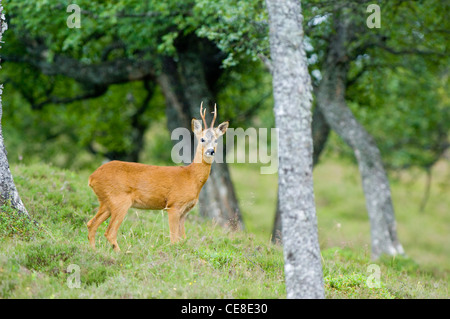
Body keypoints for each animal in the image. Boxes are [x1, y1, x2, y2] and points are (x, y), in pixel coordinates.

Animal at [87, 102, 229, 252]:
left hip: (106, 202)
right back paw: (120, 253)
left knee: (91, 224)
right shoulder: (173, 205)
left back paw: (93, 251)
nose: (211, 151)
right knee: (109, 232)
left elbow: (183, 239)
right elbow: (174, 240)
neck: (191, 177)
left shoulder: (184, 211)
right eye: (202, 139)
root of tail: (92, 177)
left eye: (216, 140)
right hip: (119, 200)